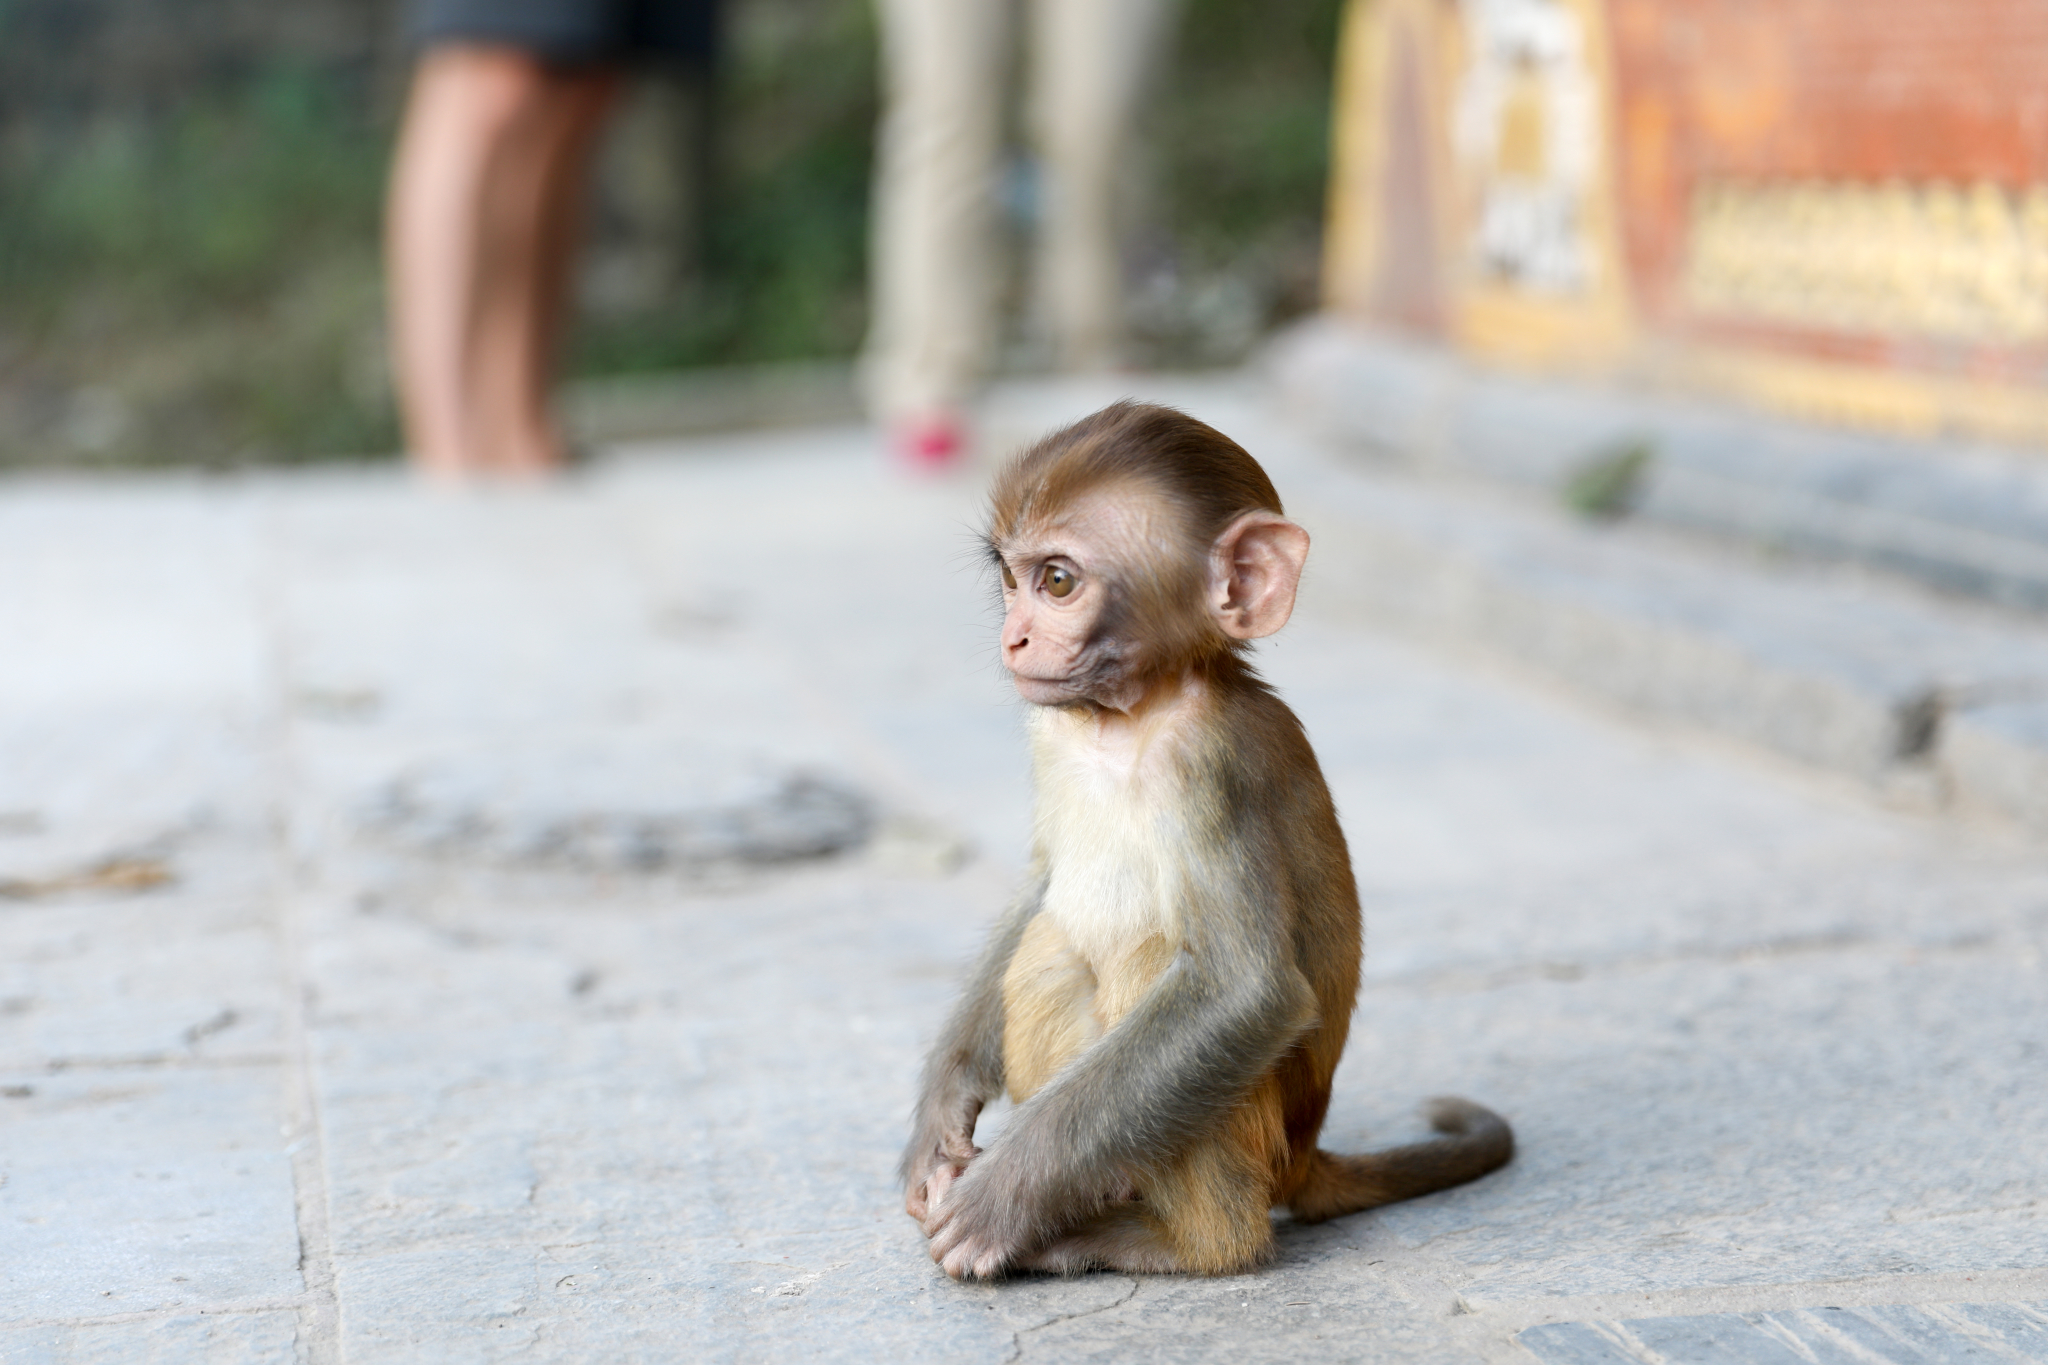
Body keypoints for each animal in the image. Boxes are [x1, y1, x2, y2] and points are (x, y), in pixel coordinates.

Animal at [905, 401, 1515, 1277]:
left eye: (1057, 581)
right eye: (1009, 580)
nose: (1014, 635)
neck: (1131, 715)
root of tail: (1305, 1153)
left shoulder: (1214, 764)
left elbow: (1246, 990)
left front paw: (1002, 1195)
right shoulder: (1051, 731)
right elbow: (1042, 884)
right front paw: (941, 1110)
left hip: (1259, 1140)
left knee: (1152, 961)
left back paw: (1181, 1241)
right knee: (1052, 948)